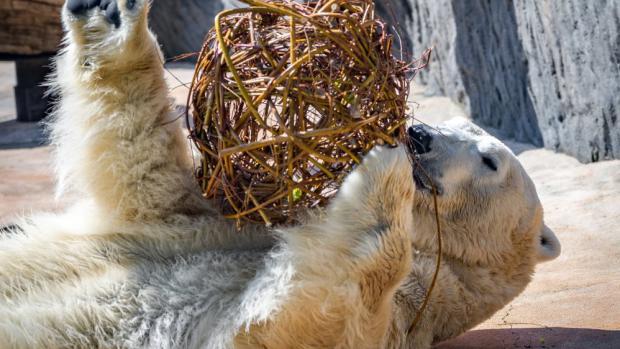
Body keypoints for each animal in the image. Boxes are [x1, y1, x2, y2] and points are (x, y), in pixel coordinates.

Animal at [0, 0, 560, 346]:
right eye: (456, 123)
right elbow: (151, 173)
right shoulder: (213, 221)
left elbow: (301, 323)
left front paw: (382, 168)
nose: (418, 134)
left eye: (489, 160)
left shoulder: (413, 309)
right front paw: (111, 20)